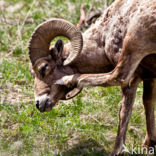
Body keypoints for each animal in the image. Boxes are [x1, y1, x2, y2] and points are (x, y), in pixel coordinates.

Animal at [29, 0, 156, 155]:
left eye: (43, 68)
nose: (38, 104)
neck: (103, 38)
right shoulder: (150, 77)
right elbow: (148, 101)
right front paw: (149, 144)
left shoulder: (133, 77)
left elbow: (124, 110)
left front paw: (117, 151)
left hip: (134, 40)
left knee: (117, 76)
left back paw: (68, 79)